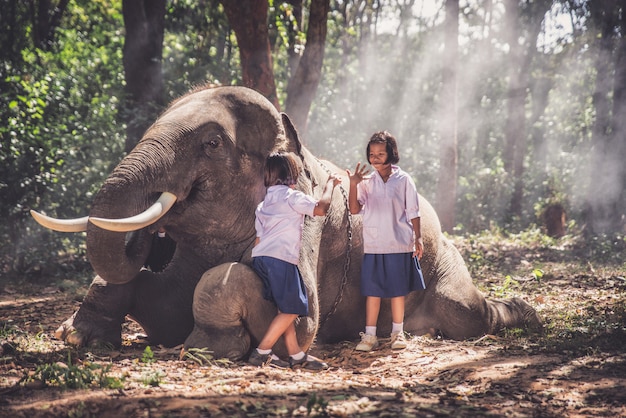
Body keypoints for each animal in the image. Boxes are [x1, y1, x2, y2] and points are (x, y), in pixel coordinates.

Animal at [30, 85, 540, 360]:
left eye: (212, 143)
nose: (150, 240)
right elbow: (156, 299)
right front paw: (75, 335)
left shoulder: (309, 223)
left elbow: (299, 317)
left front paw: (213, 346)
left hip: (443, 261)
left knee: (464, 312)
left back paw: (523, 313)